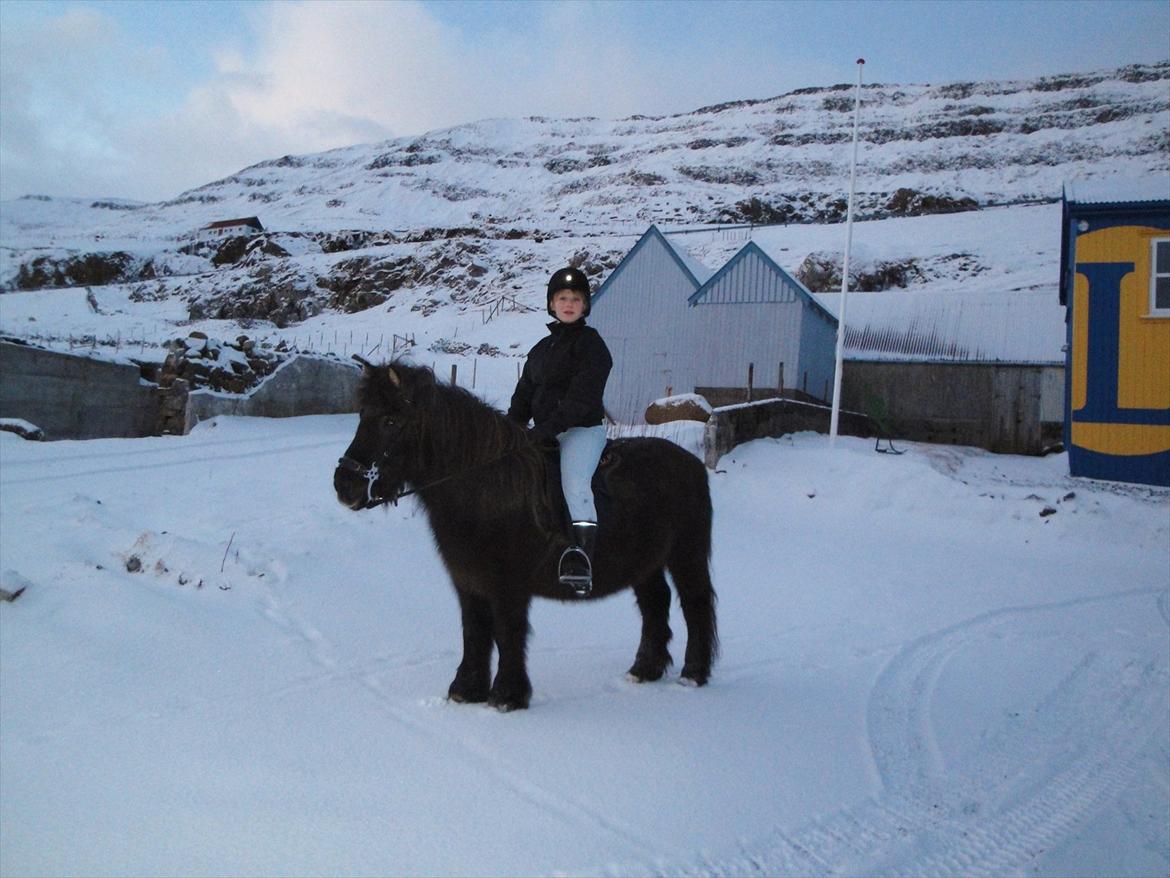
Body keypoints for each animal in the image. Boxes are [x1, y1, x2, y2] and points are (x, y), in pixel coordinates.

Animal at [334, 360, 716, 711]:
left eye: (390, 420)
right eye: (362, 414)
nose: (344, 485)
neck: (485, 486)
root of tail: (692, 463)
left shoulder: (508, 586)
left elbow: (507, 633)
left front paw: (507, 696)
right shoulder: (468, 581)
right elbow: (474, 631)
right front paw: (466, 690)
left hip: (686, 555)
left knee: (695, 604)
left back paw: (694, 674)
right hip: (645, 563)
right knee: (656, 604)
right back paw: (644, 669)